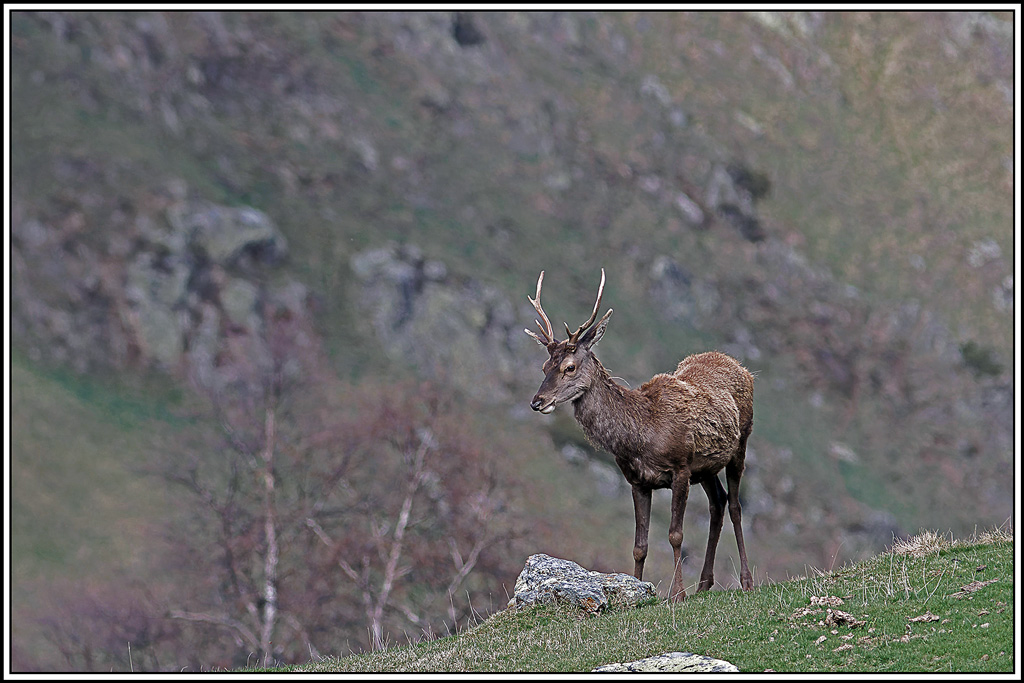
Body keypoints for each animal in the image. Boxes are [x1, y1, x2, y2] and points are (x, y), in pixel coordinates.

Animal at [524, 268, 754, 602]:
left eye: (569, 367)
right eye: (544, 366)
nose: (537, 401)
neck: (641, 434)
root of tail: (739, 366)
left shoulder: (680, 468)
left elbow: (675, 535)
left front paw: (678, 594)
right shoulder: (638, 481)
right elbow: (639, 546)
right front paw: (636, 590)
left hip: (741, 442)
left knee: (735, 506)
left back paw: (746, 580)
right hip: (706, 467)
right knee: (718, 503)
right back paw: (704, 583)